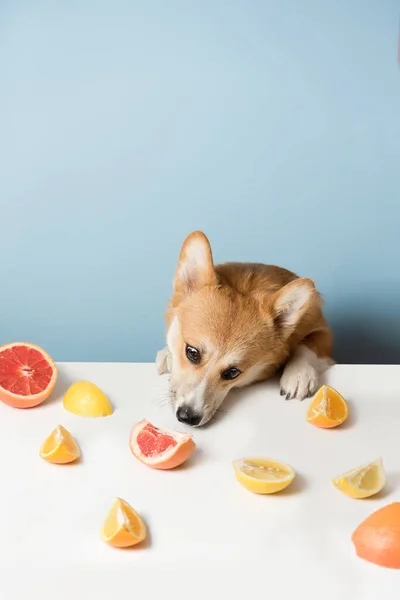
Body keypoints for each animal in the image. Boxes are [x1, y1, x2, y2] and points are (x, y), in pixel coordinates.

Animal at [158, 231, 332, 426]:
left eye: (233, 372)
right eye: (192, 353)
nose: (188, 417)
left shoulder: (322, 330)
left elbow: (307, 345)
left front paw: (299, 374)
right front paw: (167, 355)